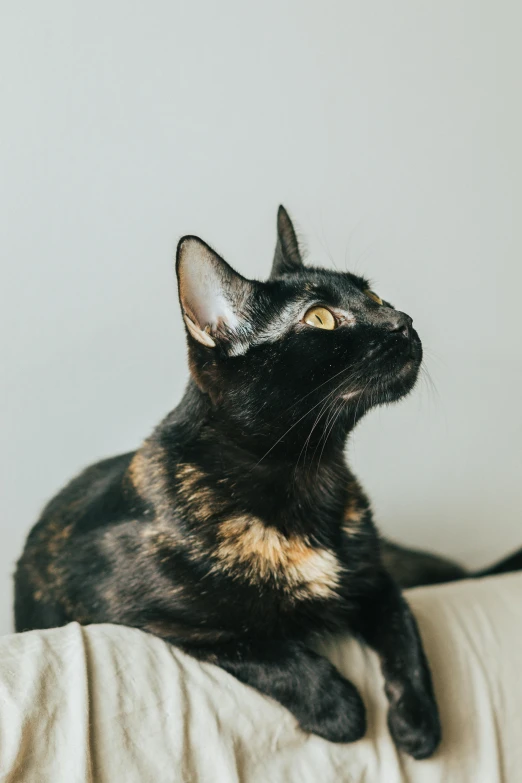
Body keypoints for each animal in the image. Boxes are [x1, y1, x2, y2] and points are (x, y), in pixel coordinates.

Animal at [13, 208, 520, 760]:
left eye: (375, 297)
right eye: (320, 318)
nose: (403, 321)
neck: (308, 474)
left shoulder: (375, 580)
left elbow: (405, 631)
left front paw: (418, 722)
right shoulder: (140, 618)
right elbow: (264, 648)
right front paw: (338, 707)